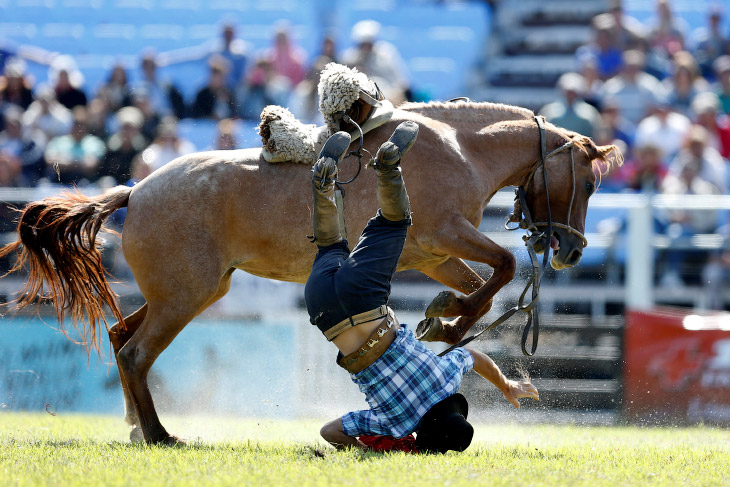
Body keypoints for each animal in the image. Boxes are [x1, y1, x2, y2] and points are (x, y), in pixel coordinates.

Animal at [0, 101, 620, 444]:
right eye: (588, 182)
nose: (572, 251)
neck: (460, 147)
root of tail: (136, 189)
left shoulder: (434, 255)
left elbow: (483, 292)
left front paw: (448, 322)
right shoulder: (444, 236)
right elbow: (506, 266)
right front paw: (449, 321)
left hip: (191, 291)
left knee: (120, 336)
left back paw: (135, 425)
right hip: (184, 298)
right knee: (134, 353)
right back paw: (157, 434)